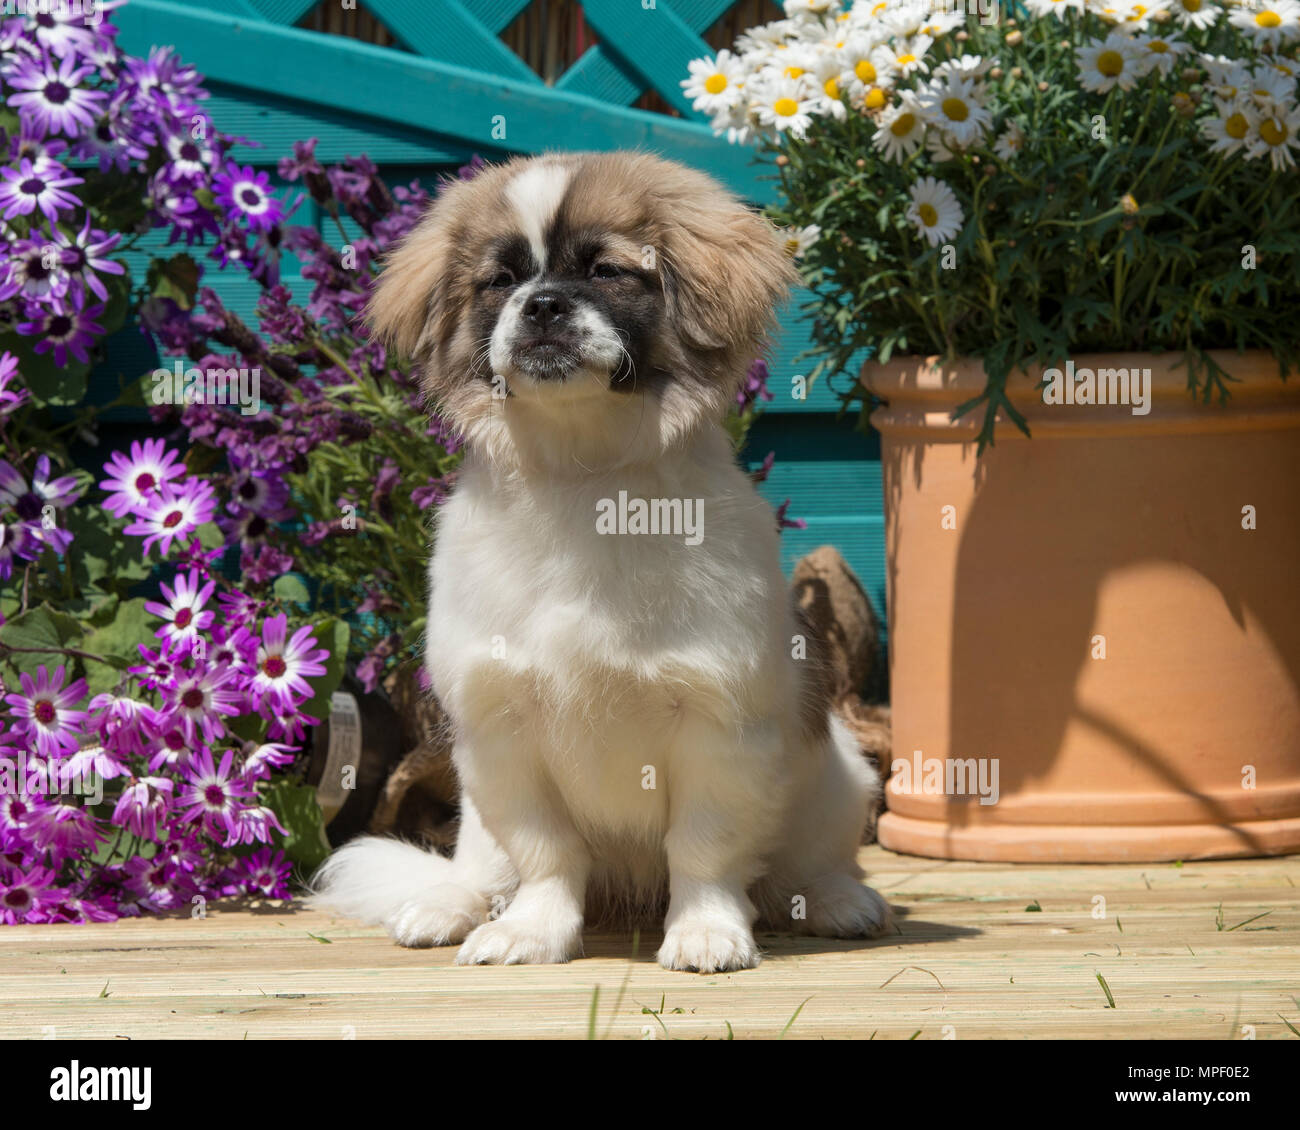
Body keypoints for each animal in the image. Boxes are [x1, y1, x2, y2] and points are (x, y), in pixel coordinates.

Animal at [309, 154, 889, 972]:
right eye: (500, 281)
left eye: (608, 271)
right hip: (474, 811)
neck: (586, 480)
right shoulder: (502, 731)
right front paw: (531, 932)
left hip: (840, 780)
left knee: (800, 869)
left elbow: (705, 848)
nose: (543, 304)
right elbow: (546, 853)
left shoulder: (719, 723)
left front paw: (706, 931)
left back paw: (835, 900)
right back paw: (451, 905)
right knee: (480, 869)